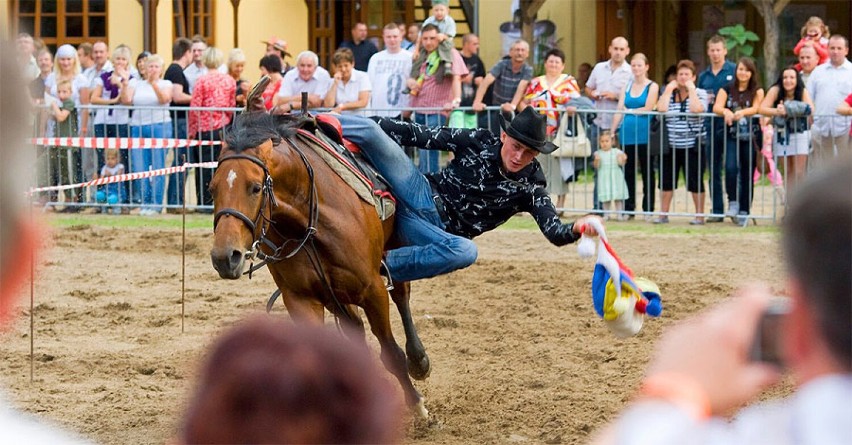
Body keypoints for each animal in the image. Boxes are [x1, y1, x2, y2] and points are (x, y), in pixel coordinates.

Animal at [207, 106, 432, 416]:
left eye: (254, 188)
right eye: (211, 188)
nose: (224, 257)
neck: (309, 221)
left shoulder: (373, 289)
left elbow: (391, 353)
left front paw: (417, 405)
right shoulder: (301, 298)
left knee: (402, 296)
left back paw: (418, 360)